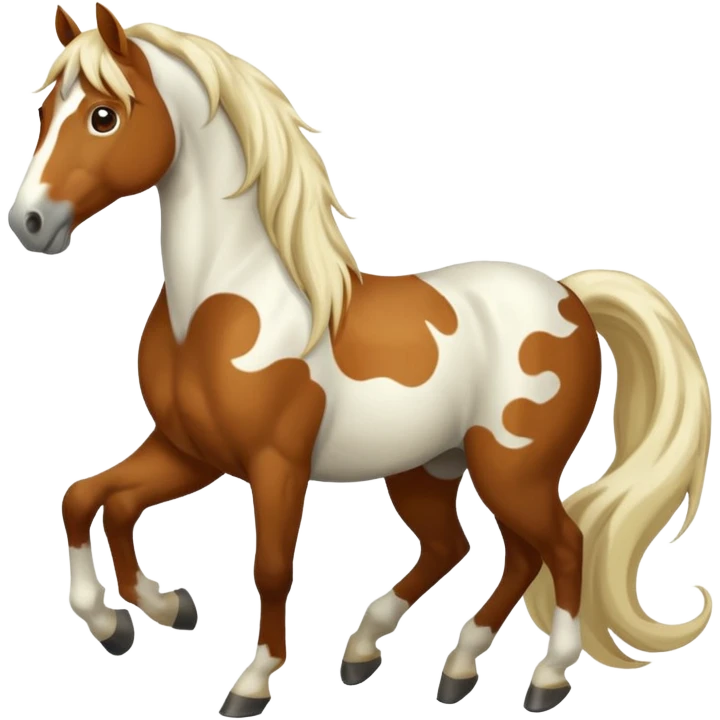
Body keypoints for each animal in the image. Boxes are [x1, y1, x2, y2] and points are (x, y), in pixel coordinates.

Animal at [11, 4, 712, 718]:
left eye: (103, 115)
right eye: (45, 111)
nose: (30, 223)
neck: (223, 299)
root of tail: (571, 298)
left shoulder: (275, 463)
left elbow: (269, 567)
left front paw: (251, 681)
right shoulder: (190, 451)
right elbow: (92, 499)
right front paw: (139, 616)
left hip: (513, 468)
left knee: (561, 547)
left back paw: (545, 678)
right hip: (432, 467)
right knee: (474, 548)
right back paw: (412, 659)